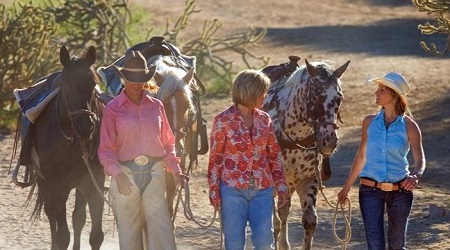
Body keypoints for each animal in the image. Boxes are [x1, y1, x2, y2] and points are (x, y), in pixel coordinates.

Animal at [262, 59, 350, 250]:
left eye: (339, 98)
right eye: (317, 96)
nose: (329, 141)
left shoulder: (309, 179)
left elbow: (309, 221)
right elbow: (275, 221)